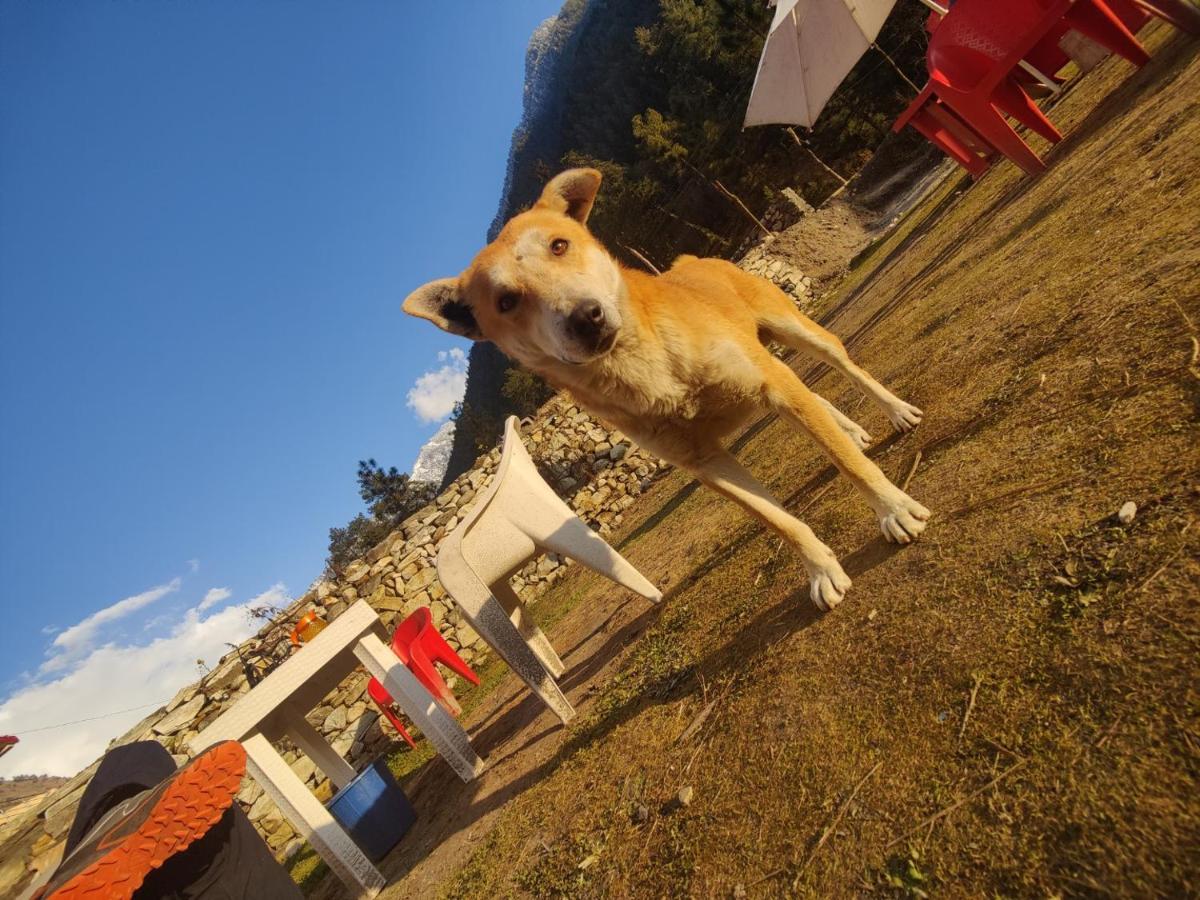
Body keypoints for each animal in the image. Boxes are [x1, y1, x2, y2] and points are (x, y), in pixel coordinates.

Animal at [403, 168, 926, 614]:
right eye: (507, 301)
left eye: (559, 245)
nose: (585, 317)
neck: (647, 370)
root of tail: (693, 260)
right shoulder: (704, 462)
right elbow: (779, 521)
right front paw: (819, 571)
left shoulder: (771, 388)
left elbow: (850, 467)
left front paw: (894, 510)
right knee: (818, 400)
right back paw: (853, 431)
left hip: (793, 331)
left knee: (843, 364)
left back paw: (896, 413)